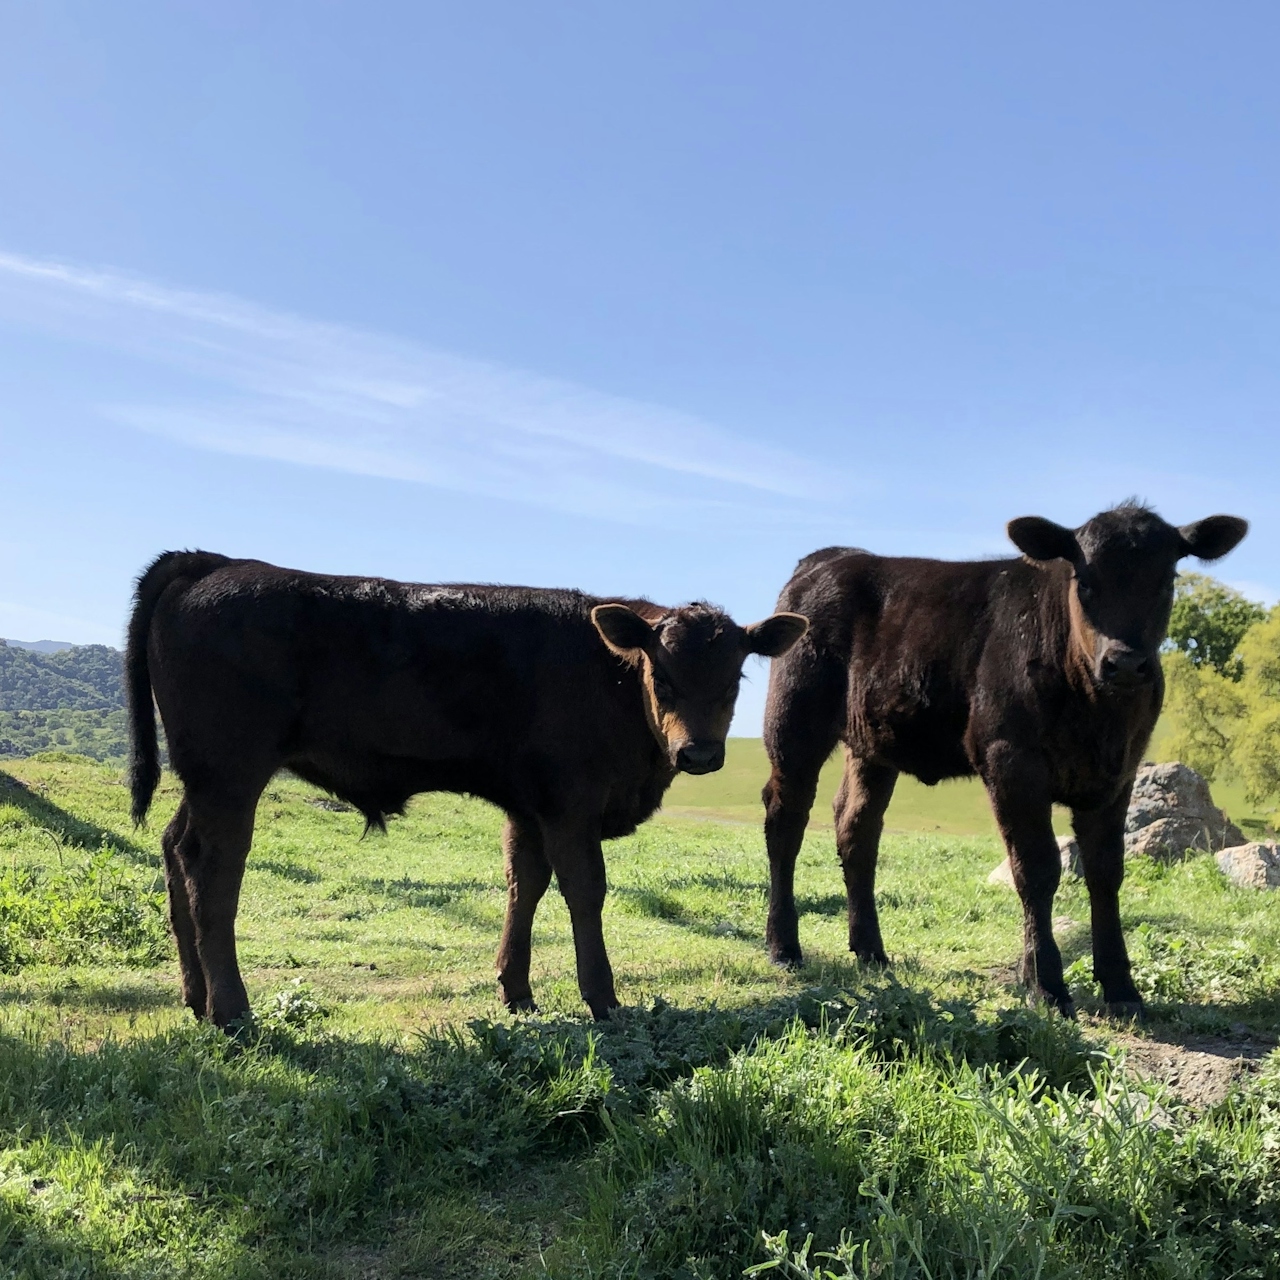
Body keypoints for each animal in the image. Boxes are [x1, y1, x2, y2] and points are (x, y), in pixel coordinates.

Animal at [129, 550, 808, 1029]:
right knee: (214, 871)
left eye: (736, 678)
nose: (699, 753)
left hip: (205, 780)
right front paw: (603, 998)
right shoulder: (569, 802)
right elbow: (585, 890)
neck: (608, 679)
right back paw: (231, 1010)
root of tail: (213, 562)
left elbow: (524, 885)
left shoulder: (529, 807)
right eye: (660, 674)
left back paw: (196, 997)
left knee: (175, 848)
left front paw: (518, 991)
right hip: (231, 774)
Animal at [762, 504, 1244, 1013]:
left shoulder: (1119, 773)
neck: (1097, 714)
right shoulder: (1011, 761)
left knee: (856, 827)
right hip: (793, 724)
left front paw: (1121, 988)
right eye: (1084, 581)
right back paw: (784, 946)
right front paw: (1045, 983)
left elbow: (1106, 872)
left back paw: (871, 950)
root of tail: (832, 556)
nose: (1126, 664)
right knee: (785, 822)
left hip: (873, 744)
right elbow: (1037, 868)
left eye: (1168, 579)